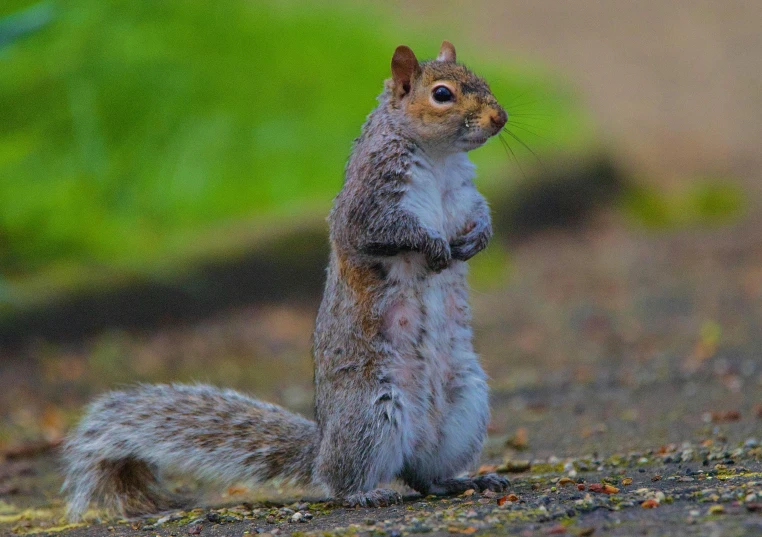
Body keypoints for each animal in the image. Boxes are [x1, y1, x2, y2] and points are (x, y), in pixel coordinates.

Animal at [62, 39, 508, 516]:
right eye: (442, 94)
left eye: (482, 79)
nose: (500, 118)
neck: (440, 159)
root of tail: (322, 447)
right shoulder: (368, 202)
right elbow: (382, 232)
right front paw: (434, 245)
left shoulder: (463, 193)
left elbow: (480, 213)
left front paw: (478, 237)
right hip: (371, 412)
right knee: (342, 479)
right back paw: (364, 491)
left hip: (465, 405)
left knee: (423, 477)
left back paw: (461, 480)